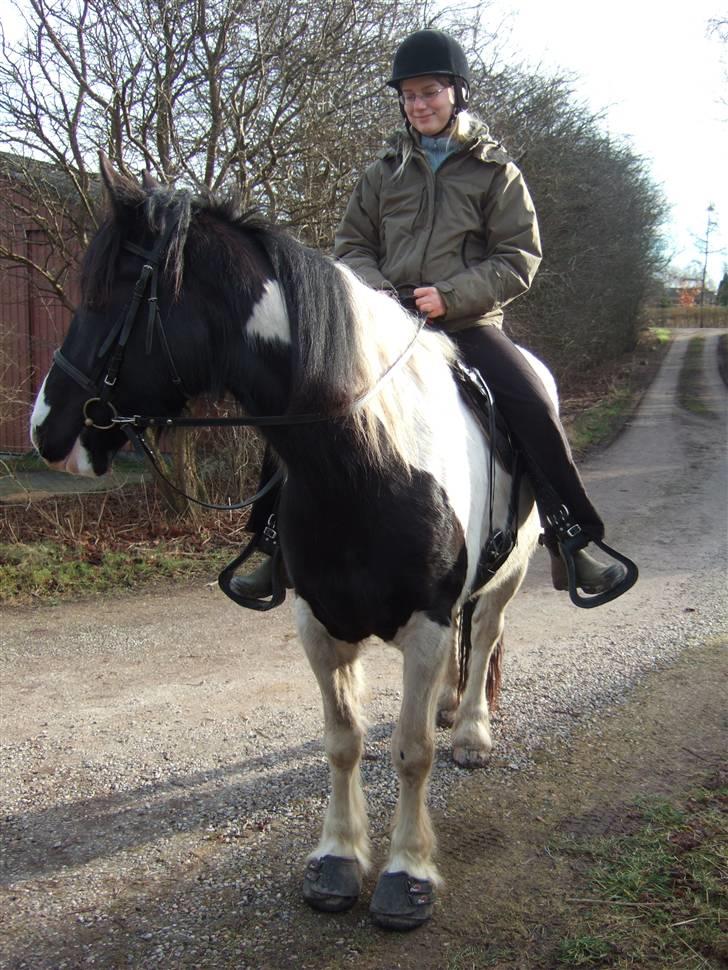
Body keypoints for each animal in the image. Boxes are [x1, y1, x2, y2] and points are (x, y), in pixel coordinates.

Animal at [29, 161, 556, 932]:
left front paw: (407, 872)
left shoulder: (427, 624)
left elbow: (412, 752)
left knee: (484, 634)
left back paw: (471, 734)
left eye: (110, 295)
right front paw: (337, 858)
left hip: (508, 576)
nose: (47, 430)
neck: (365, 464)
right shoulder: (317, 620)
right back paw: (451, 706)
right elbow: (343, 742)